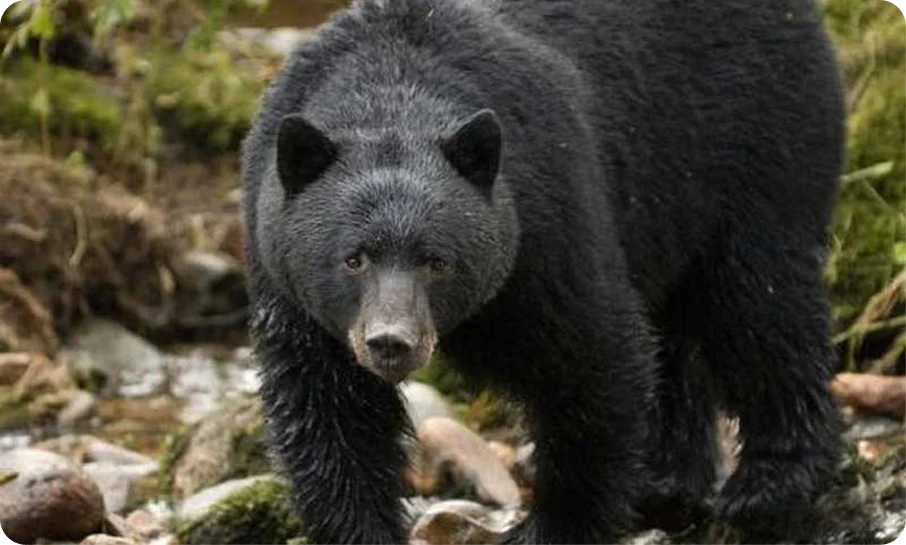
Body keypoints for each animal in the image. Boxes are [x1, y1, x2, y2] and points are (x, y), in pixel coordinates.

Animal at [241, 0, 846, 544]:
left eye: (437, 260)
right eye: (354, 257)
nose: (392, 341)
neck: (391, 86)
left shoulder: (546, 221)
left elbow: (593, 361)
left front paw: (554, 526)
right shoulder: (289, 285)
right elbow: (329, 411)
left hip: (758, 150)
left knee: (760, 307)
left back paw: (771, 487)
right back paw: (665, 483)